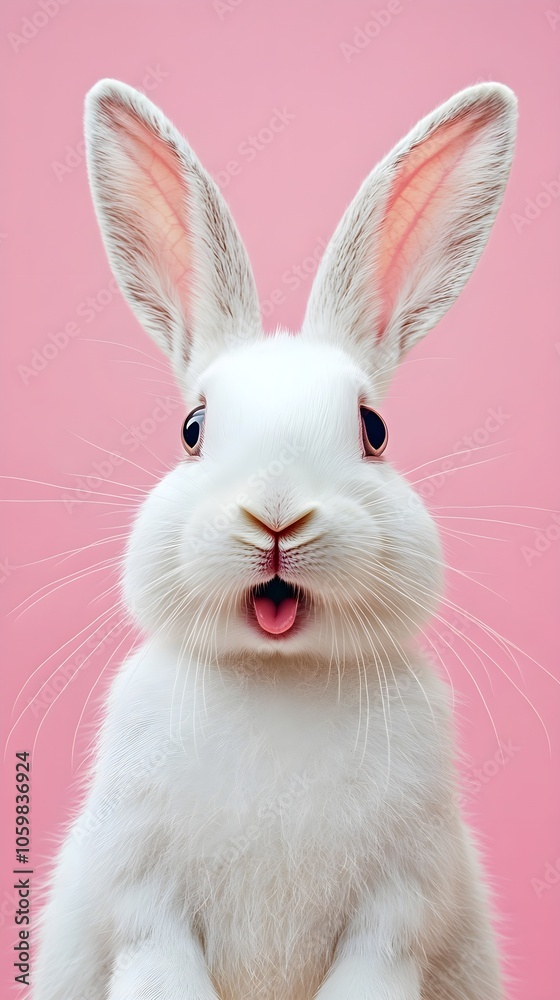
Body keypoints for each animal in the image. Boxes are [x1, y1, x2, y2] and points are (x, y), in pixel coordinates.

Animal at [34, 79, 517, 1000]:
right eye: (192, 429)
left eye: (374, 429)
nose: (277, 514)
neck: (278, 676)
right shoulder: (143, 897)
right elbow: (160, 960)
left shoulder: (397, 908)